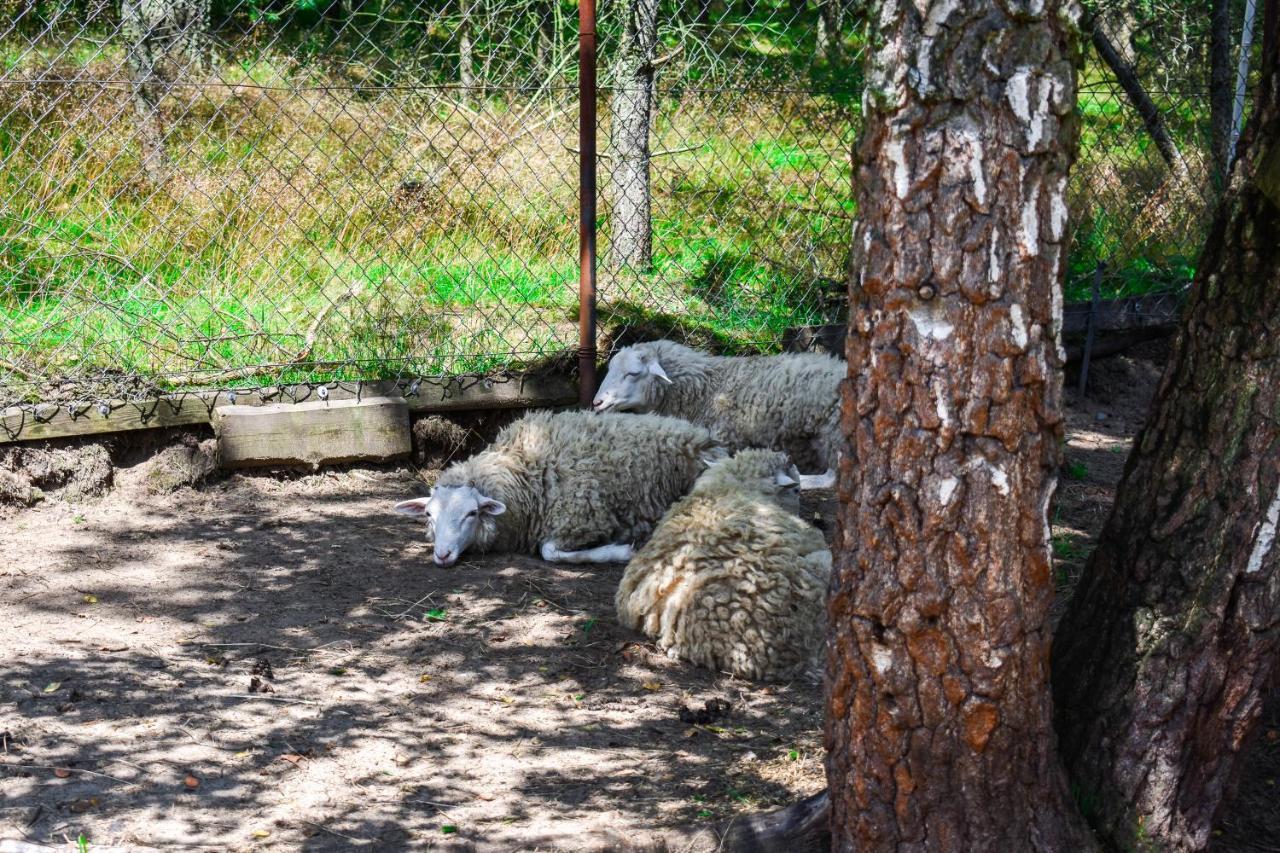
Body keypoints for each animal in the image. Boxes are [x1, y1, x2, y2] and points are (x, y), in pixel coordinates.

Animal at [389, 409, 727, 563]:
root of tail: (703, 437)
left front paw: (618, 551)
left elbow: (550, 552)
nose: (443, 554)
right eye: (429, 515)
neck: (522, 469)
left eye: (472, 514)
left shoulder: (582, 517)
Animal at [591, 338, 849, 484]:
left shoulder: (720, 438)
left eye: (633, 373)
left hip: (834, 433)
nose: (597, 403)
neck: (704, 388)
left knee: (831, 479)